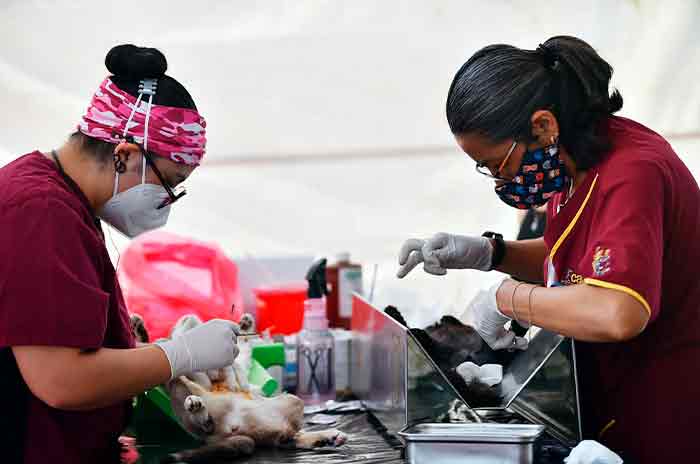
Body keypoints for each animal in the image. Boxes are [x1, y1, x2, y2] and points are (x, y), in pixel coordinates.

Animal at [129, 314, 348, 462]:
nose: (187, 316)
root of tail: (241, 431)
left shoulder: (237, 362)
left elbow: (242, 350)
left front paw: (245, 326)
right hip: (181, 397)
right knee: (202, 423)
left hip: (292, 400)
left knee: (286, 439)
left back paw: (325, 438)